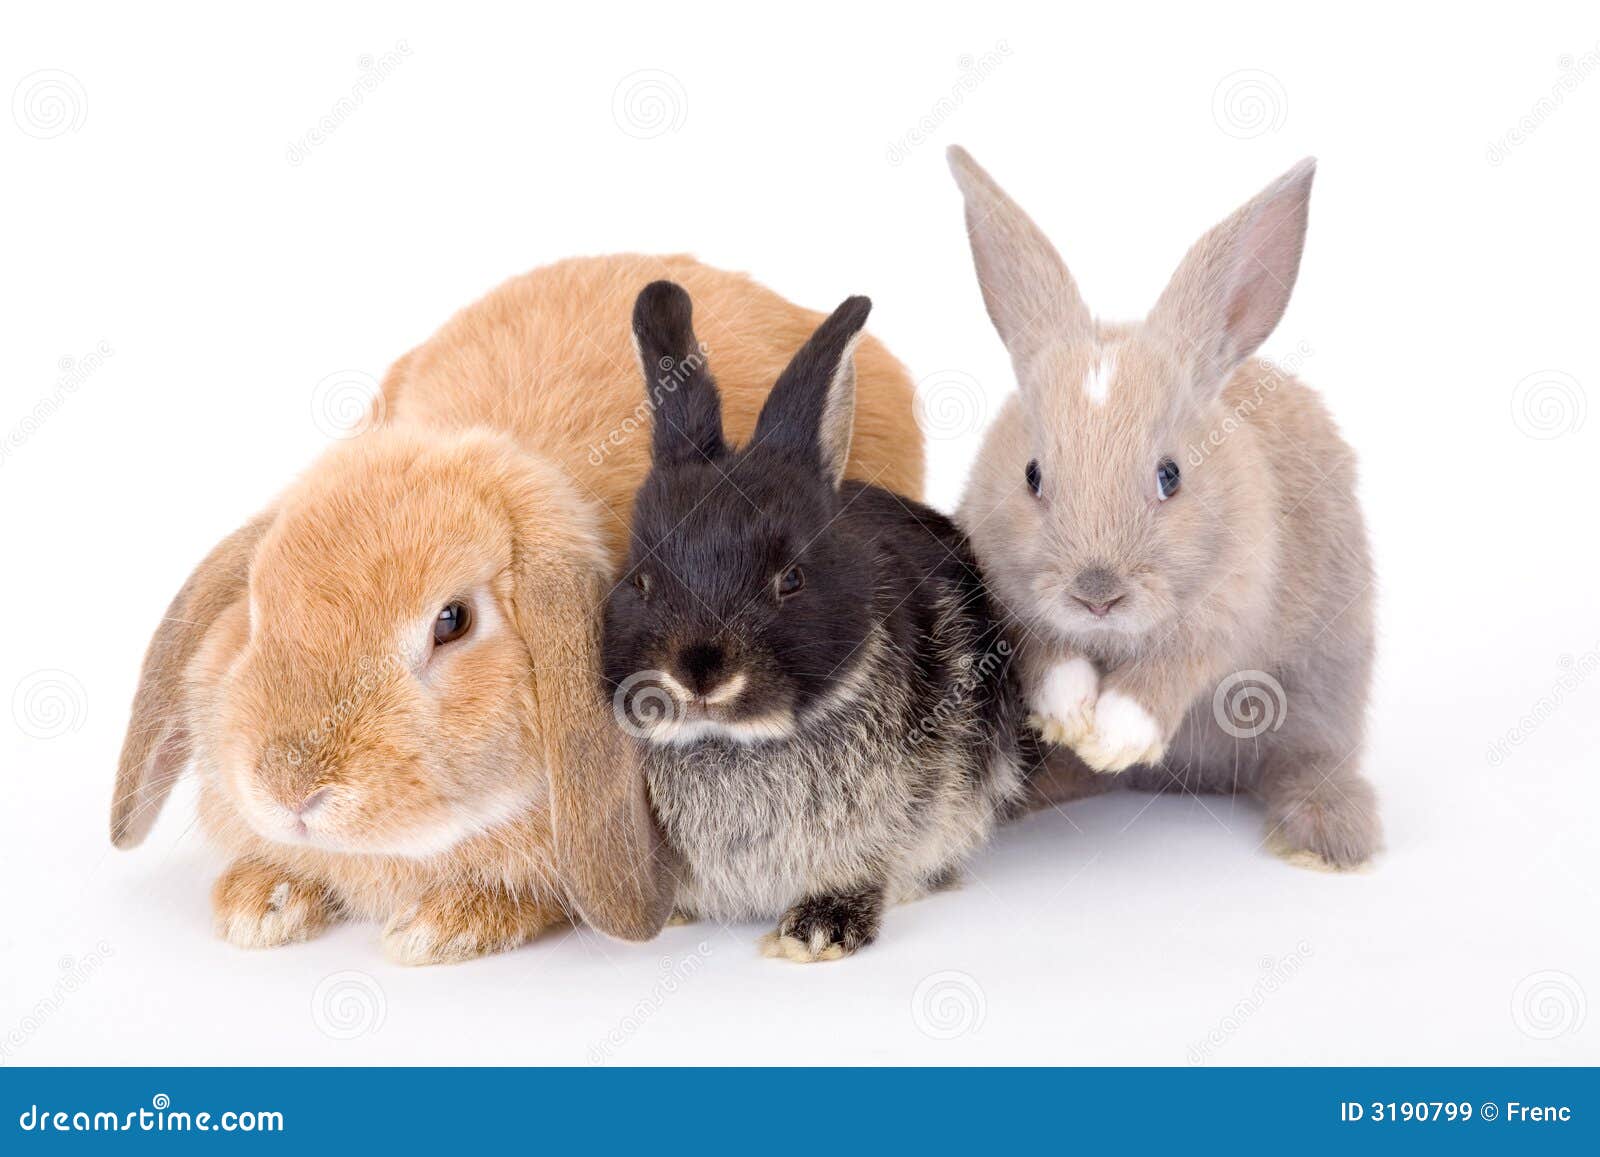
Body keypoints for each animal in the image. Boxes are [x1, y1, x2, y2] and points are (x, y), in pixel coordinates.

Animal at [947, 146, 1380, 871]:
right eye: (1032, 475)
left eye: (1170, 475)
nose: (1096, 593)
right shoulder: (1012, 601)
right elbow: (1050, 656)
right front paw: (1073, 717)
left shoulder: (1225, 612)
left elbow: (1169, 673)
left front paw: (1112, 735)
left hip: (1325, 687)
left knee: (1309, 757)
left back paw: (1327, 840)